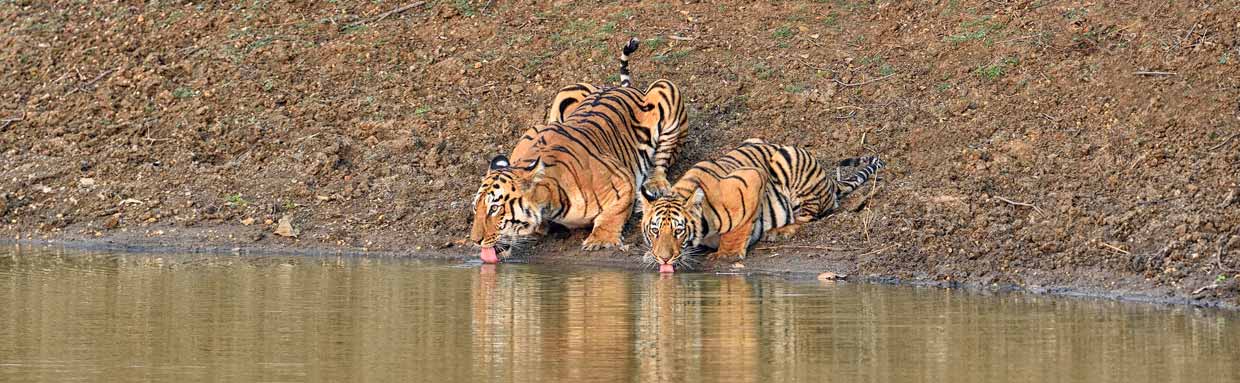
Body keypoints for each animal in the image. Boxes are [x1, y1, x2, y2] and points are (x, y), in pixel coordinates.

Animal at [468, 37, 694, 262]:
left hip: (666, 88)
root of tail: (623, 87)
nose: (475, 240)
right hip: (567, 91)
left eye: (494, 208)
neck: (548, 200)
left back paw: (656, 184)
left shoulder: (623, 182)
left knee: (661, 160)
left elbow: (613, 214)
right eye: (475, 207)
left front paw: (600, 240)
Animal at [634, 138, 887, 270]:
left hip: (788, 161)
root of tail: (828, 179)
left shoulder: (752, 178)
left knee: (809, 216)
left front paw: (727, 255)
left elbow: (738, 229)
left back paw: (779, 232)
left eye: (678, 231)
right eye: (655, 231)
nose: (664, 258)